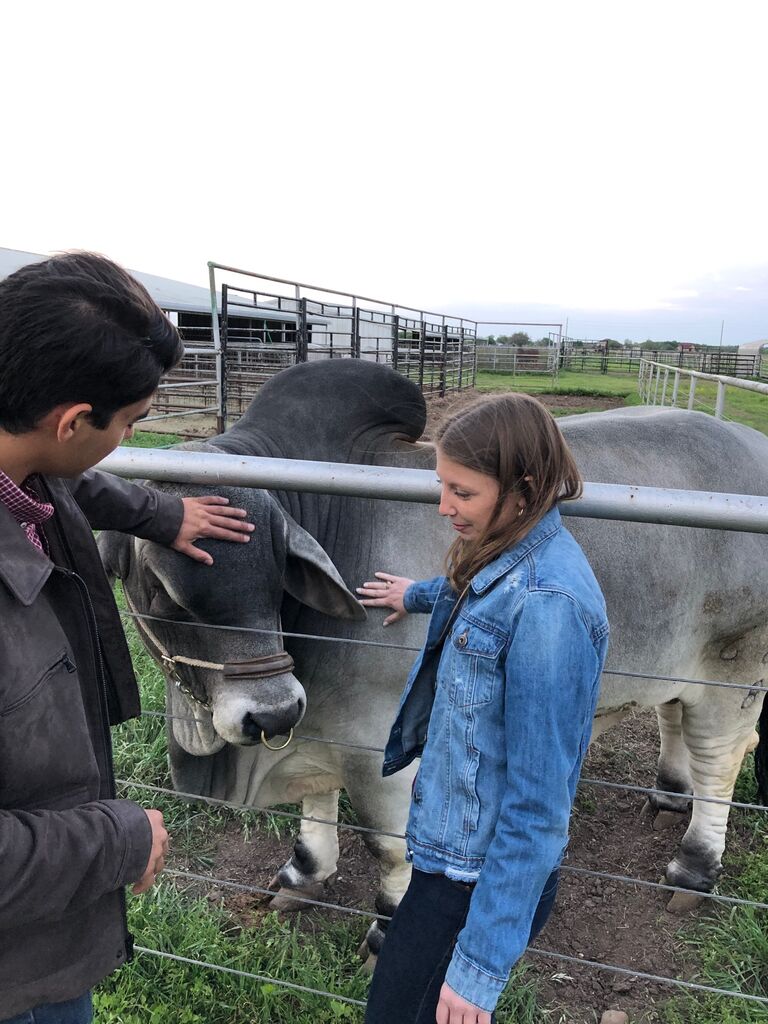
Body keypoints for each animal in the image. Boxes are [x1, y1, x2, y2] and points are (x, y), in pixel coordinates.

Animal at [97, 358, 768, 950]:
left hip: (734, 666)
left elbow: (389, 846)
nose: (270, 712)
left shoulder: (381, 750)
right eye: (159, 588)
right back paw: (667, 795)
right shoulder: (320, 728)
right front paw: (301, 875)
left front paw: (385, 928)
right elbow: (316, 810)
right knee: (674, 718)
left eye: (277, 575)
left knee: (720, 761)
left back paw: (693, 868)